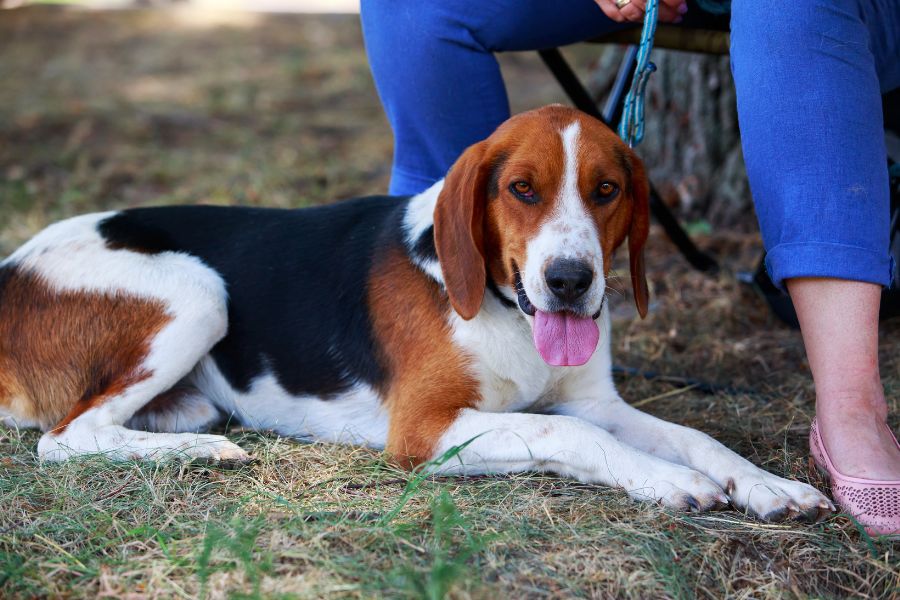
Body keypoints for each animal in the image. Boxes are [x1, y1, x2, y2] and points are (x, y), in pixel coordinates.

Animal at [0, 106, 828, 520]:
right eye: (522, 189)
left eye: (606, 191)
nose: (570, 282)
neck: (503, 310)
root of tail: (11, 269)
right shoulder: (425, 429)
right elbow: (571, 436)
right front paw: (666, 481)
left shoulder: (596, 401)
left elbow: (693, 436)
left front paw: (766, 485)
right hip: (200, 292)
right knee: (65, 438)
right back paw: (201, 452)